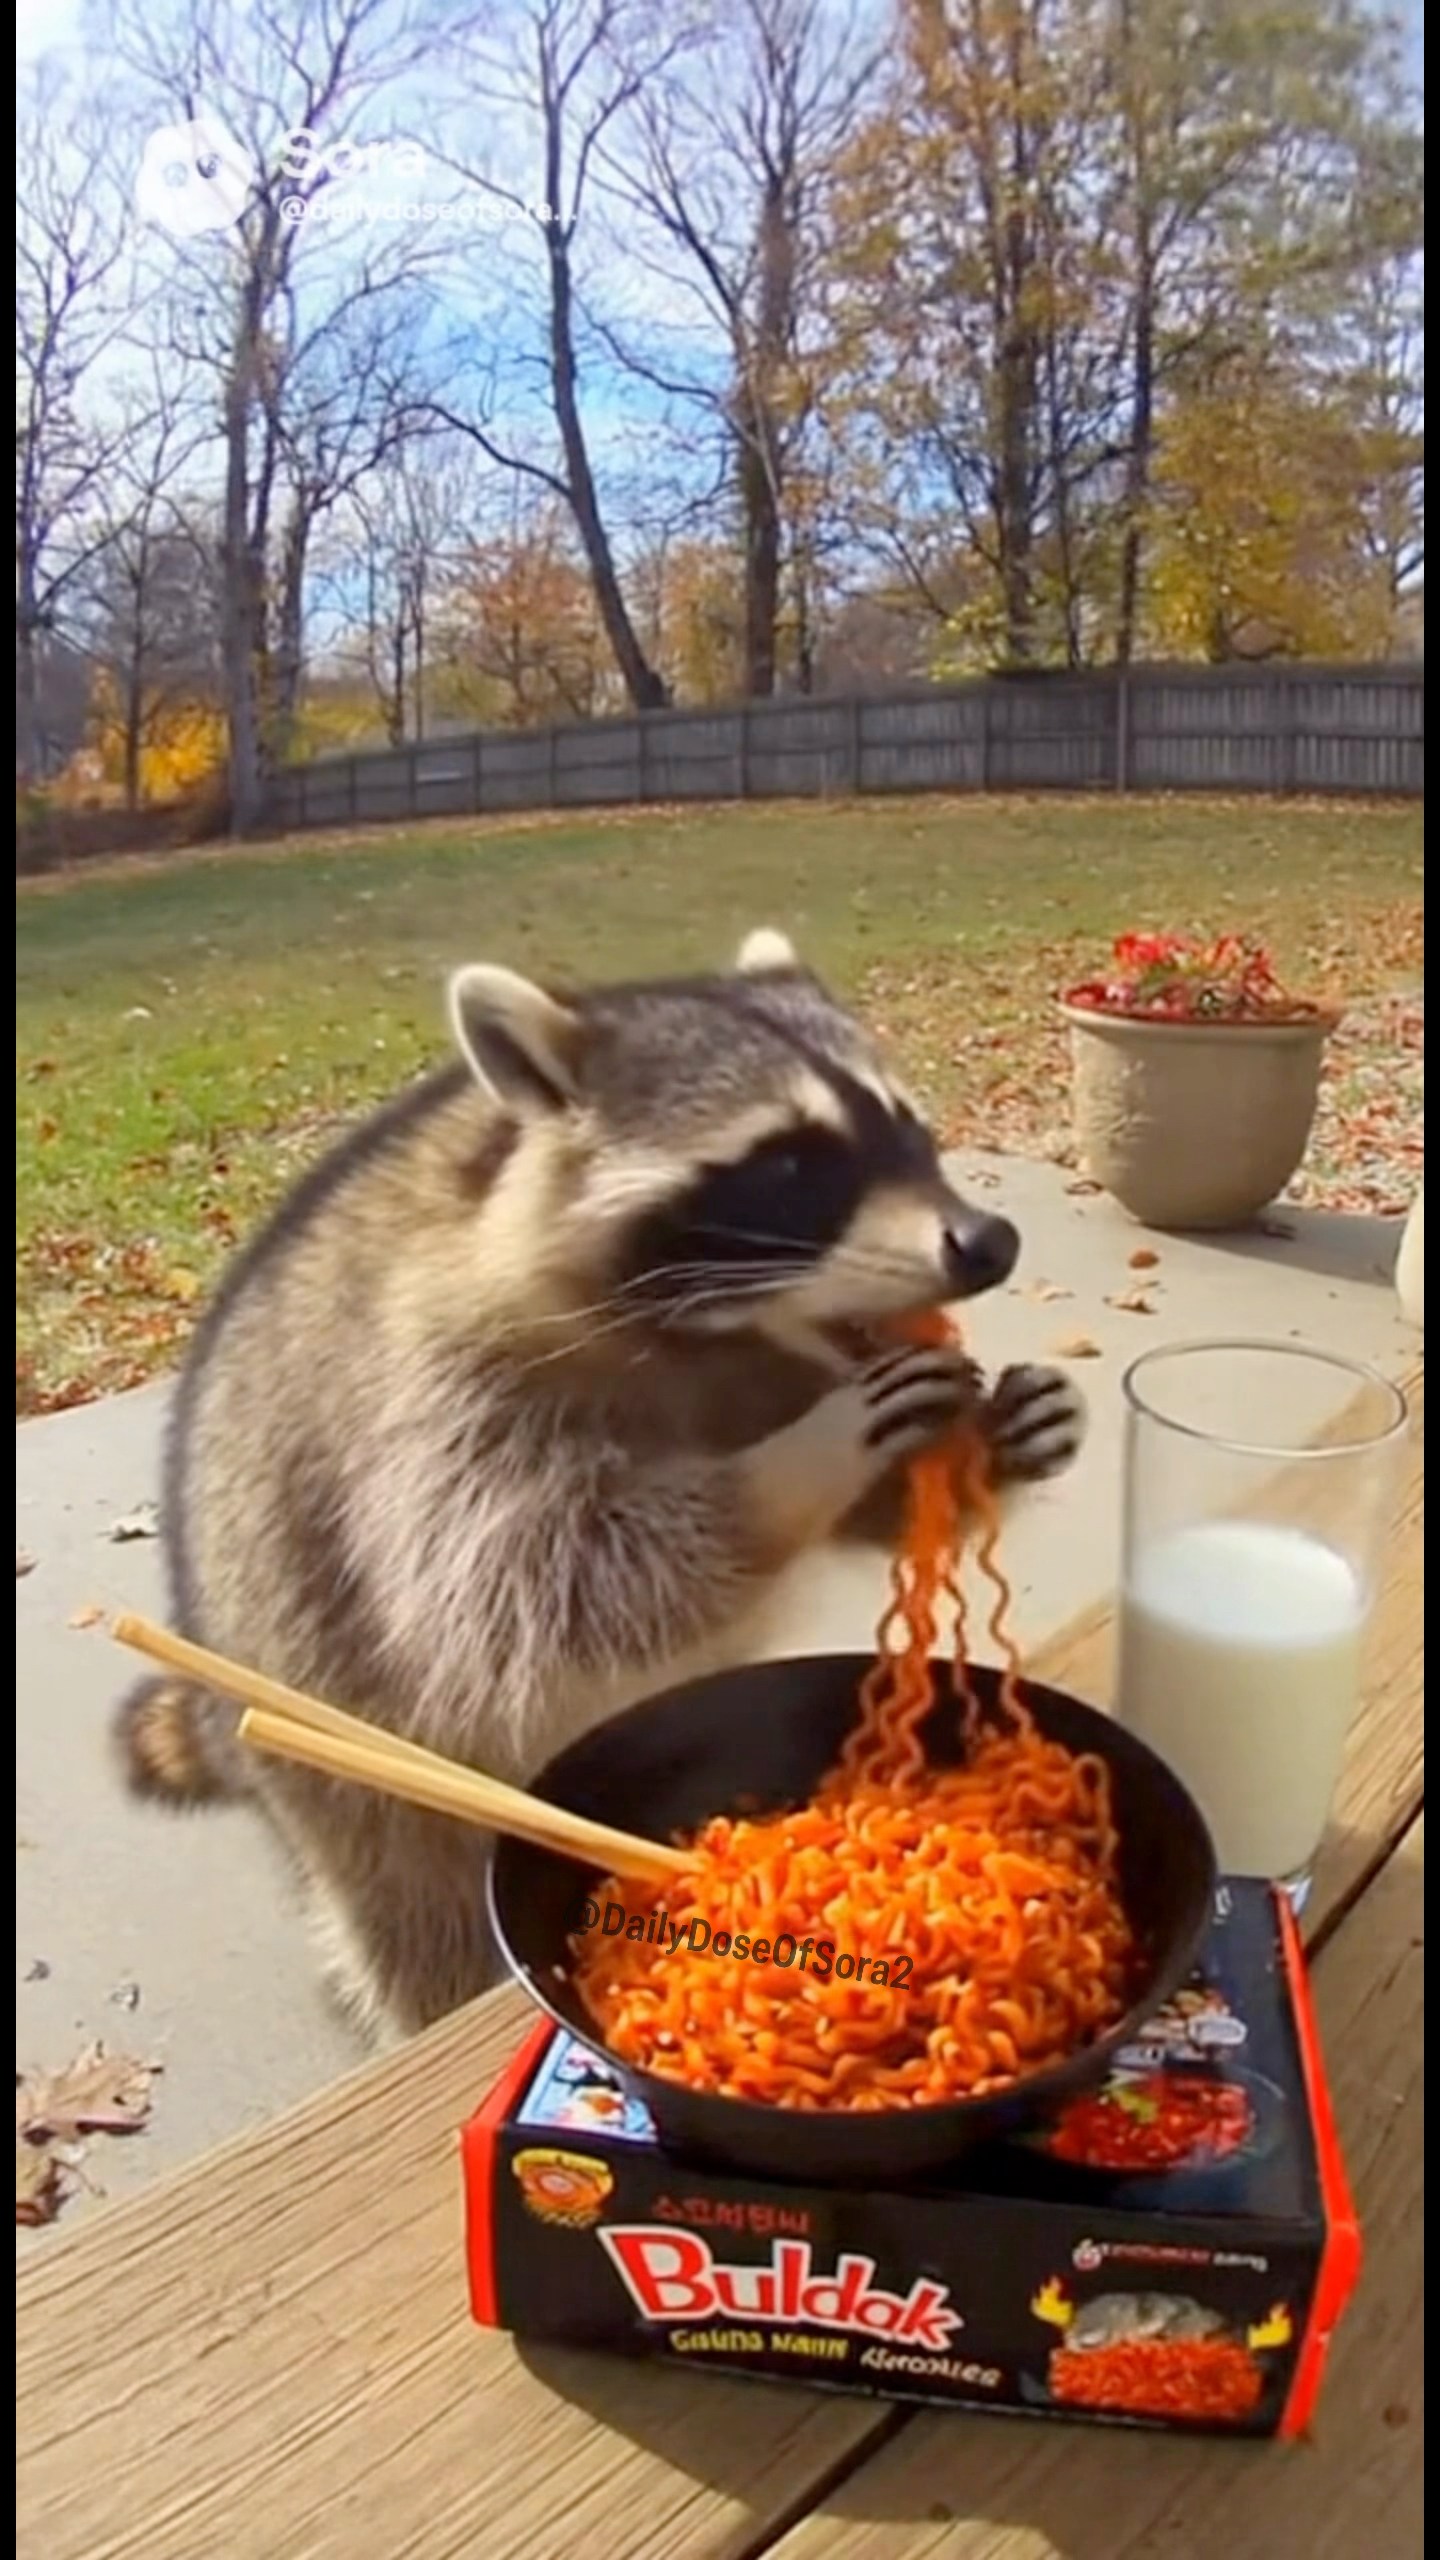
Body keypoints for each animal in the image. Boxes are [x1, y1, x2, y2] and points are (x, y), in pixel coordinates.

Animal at [116, 929, 1086, 2045]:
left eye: (909, 1127)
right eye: (788, 1163)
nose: (990, 1243)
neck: (712, 1339)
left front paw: (979, 1442)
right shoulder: (430, 1394)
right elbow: (535, 1583)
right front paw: (797, 1467)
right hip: (336, 1734)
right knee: (416, 1907)